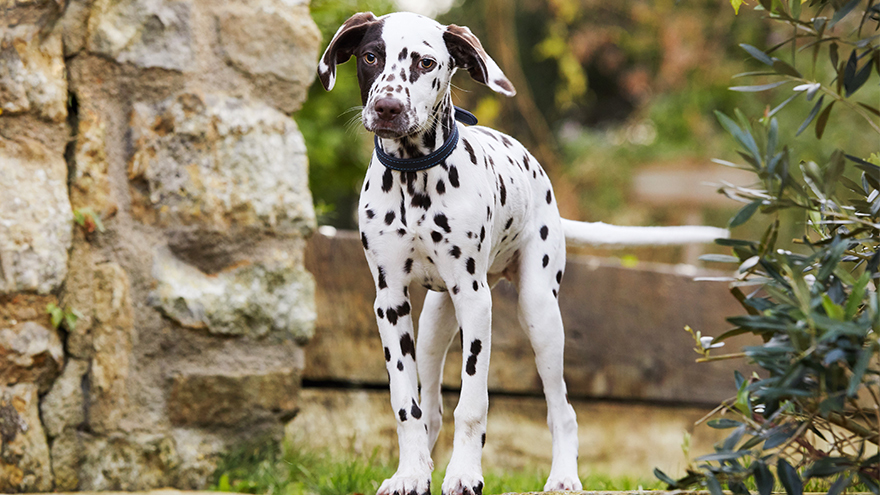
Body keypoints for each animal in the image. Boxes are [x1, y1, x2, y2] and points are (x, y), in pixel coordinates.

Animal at [316, 11, 728, 495]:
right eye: (370, 56)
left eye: (425, 62)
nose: (387, 109)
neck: (414, 174)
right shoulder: (390, 302)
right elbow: (406, 402)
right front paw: (411, 474)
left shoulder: (476, 301)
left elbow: (473, 402)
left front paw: (464, 474)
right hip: (436, 321)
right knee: (431, 402)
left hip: (540, 314)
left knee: (562, 409)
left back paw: (564, 476)